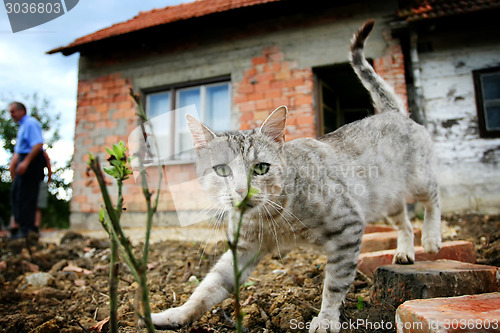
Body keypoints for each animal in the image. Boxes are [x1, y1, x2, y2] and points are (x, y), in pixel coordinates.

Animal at [151, 19, 442, 330]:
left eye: (261, 168)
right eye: (222, 170)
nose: (242, 191)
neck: (272, 219)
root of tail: (392, 112)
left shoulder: (348, 227)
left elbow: (335, 283)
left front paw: (326, 319)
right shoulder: (242, 251)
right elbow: (207, 287)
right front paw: (173, 314)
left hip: (419, 180)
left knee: (433, 201)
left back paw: (432, 238)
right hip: (386, 201)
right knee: (405, 223)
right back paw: (405, 252)